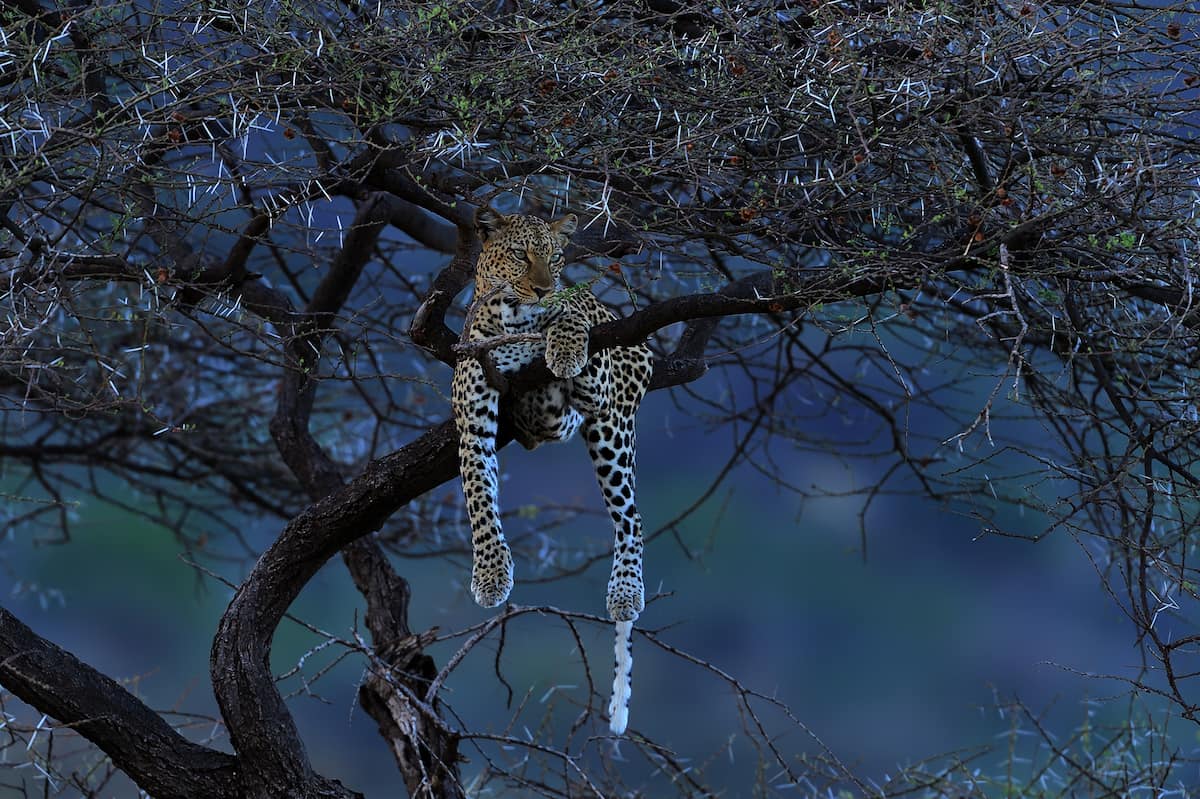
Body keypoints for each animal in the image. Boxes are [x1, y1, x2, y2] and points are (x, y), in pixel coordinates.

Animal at [451, 206, 657, 734]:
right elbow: (480, 496)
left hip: (614, 421)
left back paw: (626, 591)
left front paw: (563, 343)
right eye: (522, 255)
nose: (545, 289)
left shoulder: (599, 357)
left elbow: (569, 324)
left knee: (631, 517)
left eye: (556, 257)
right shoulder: (471, 408)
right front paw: (491, 576)